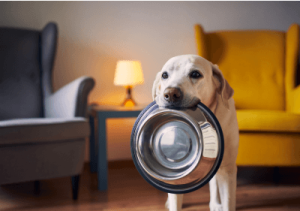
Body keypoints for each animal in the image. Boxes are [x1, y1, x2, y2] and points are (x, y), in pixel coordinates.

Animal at [152, 54, 239, 211]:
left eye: (195, 74)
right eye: (164, 75)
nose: (170, 94)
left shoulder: (227, 168)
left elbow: (228, 201)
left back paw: (215, 203)